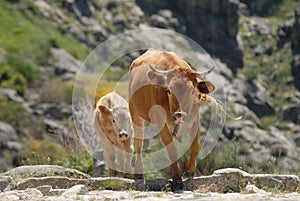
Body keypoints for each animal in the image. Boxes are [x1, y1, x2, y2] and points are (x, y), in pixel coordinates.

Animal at [127, 48, 240, 192]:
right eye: (169, 90)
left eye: (192, 91)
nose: (179, 115)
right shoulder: (160, 122)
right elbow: (172, 150)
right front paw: (177, 179)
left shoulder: (195, 119)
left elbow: (195, 145)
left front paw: (188, 170)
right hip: (135, 113)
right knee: (139, 143)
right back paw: (139, 173)